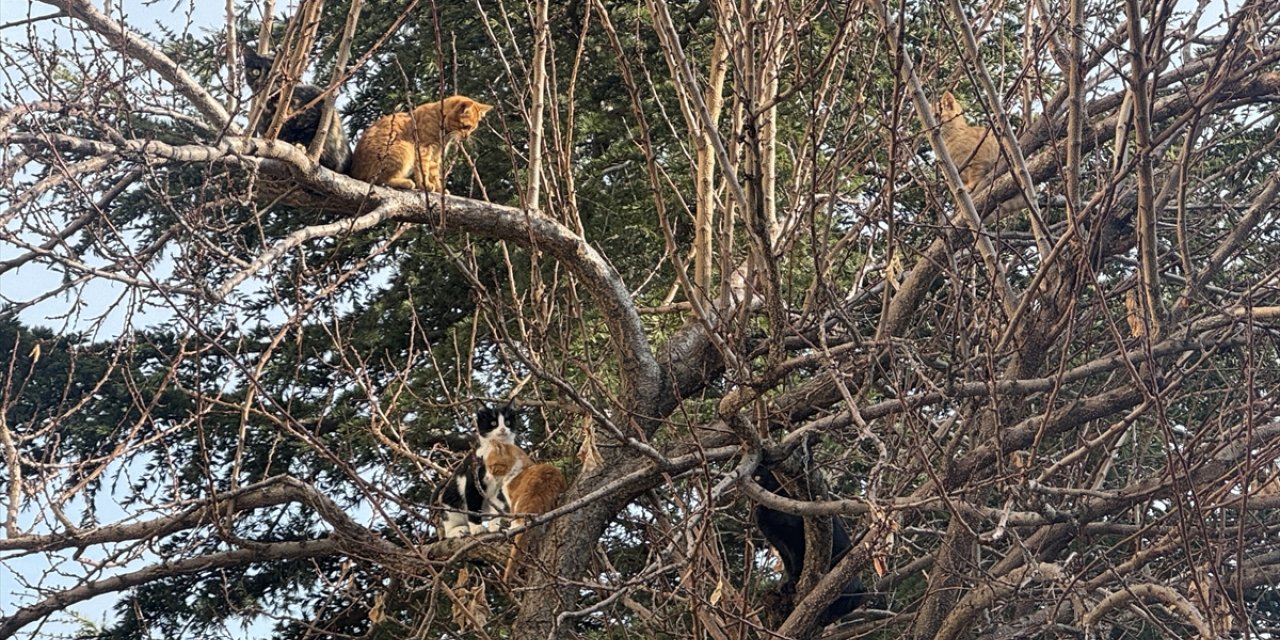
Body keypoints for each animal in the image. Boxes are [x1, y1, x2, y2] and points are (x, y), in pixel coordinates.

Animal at [239, 46, 350, 174]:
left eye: (276, 72)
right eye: (255, 71)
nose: (262, 82)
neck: (272, 106)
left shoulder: (317, 103)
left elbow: (308, 133)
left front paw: (301, 147)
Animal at [350, 94, 488, 189]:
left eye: (472, 129)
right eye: (466, 127)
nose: (466, 137)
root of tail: (354, 172)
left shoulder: (436, 154)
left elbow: (434, 173)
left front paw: (440, 189)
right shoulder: (424, 148)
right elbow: (424, 171)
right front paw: (425, 184)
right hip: (404, 149)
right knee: (375, 179)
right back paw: (404, 182)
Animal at [752, 465, 865, 624]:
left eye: (759, 477)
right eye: (755, 477)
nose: (760, 484)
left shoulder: (797, 538)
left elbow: (799, 562)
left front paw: (793, 583)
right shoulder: (780, 544)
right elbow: (789, 566)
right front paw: (787, 585)